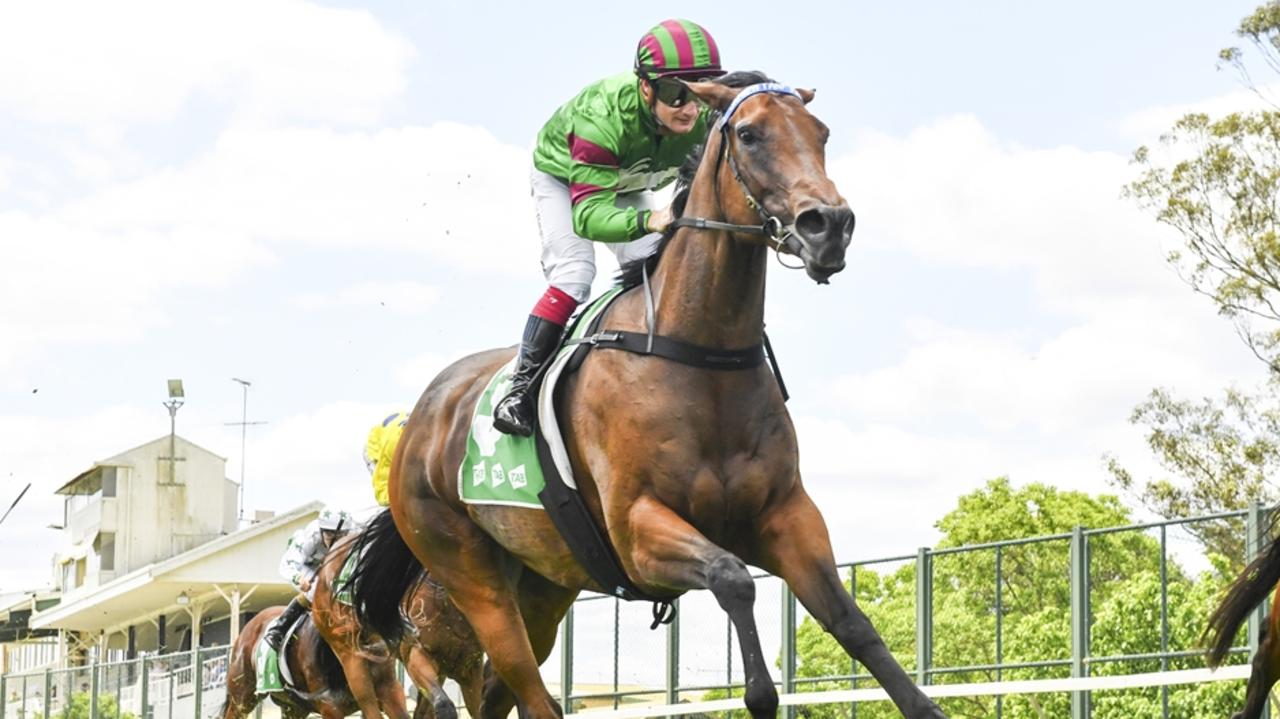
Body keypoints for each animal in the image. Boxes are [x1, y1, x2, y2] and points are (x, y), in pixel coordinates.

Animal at [348, 71, 942, 716]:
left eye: (822, 133)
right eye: (750, 134)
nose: (828, 225)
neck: (699, 354)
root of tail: (417, 424)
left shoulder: (786, 515)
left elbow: (851, 622)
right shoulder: (637, 530)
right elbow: (733, 580)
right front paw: (759, 692)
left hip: (544, 583)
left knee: (502, 691)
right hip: (469, 576)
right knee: (526, 684)